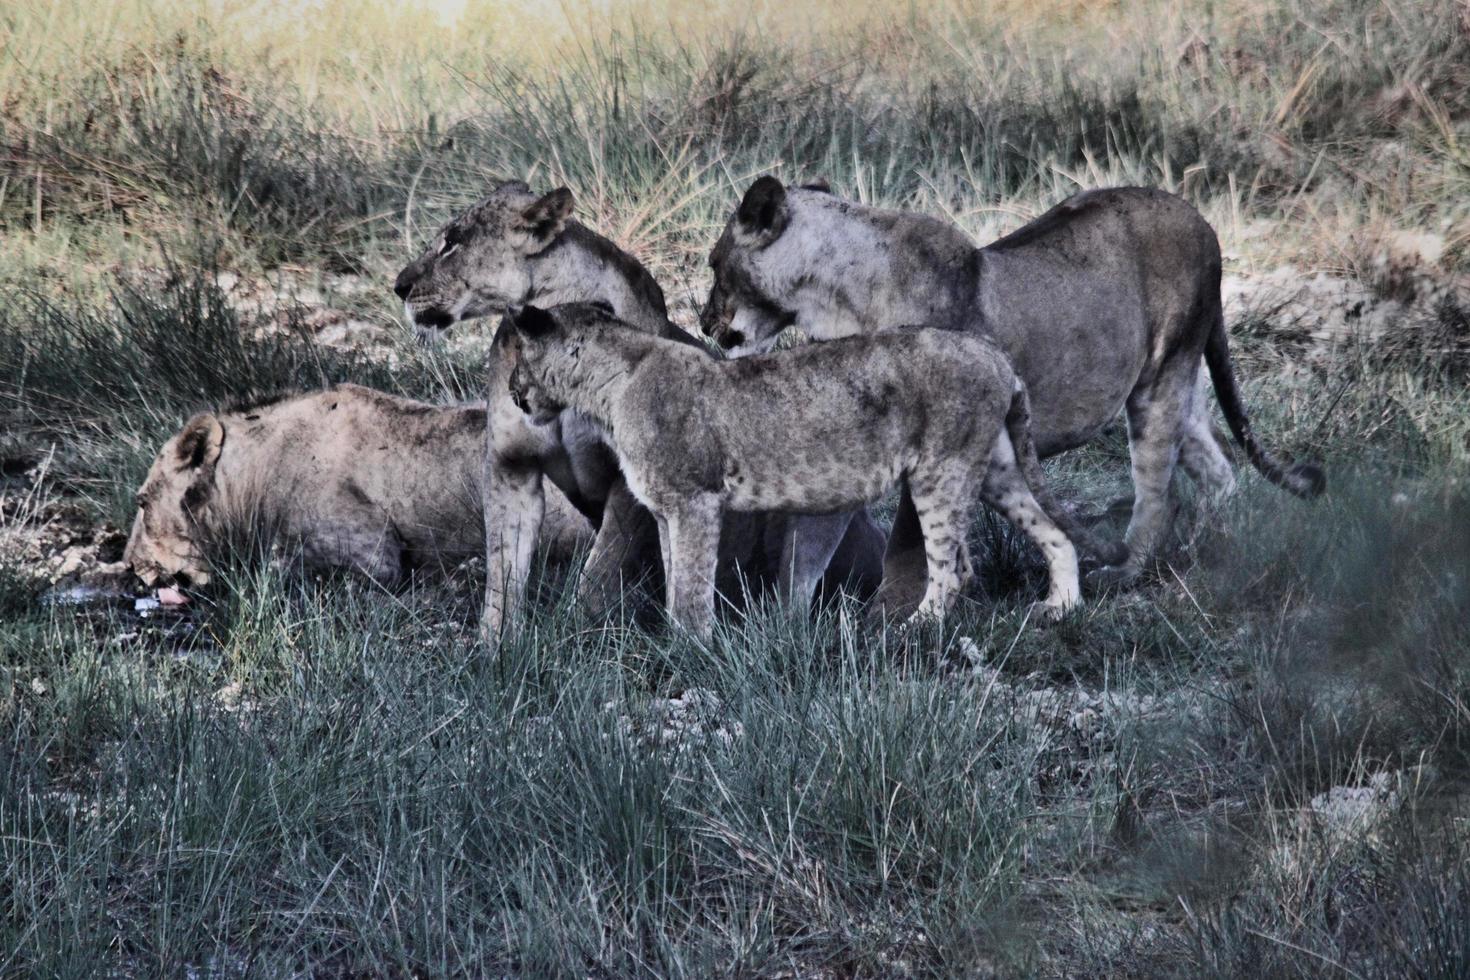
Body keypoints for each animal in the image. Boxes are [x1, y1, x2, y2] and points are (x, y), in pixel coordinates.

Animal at [391, 181, 887, 637]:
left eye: (452, 242)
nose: (398, 286)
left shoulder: (631, 479)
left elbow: (600, 570)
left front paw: (579, 632)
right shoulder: (511, 465)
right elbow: (503, 573)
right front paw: (496, 648)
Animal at [505, 302, 1123, 640]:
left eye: (513, 358)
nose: (512, 394)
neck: (609, 385)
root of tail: (993, 352)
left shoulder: (695, 500)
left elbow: (691, 585)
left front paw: (692, 646)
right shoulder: (665, 510)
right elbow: (678, 572)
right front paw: (681, 637)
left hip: (941, 470)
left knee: (955, 569)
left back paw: (907, 631)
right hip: (992, 467)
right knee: (1055, 532)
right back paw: (1062, 608)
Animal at [699, 175, 1334, 605]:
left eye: (712, 264)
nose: (703, 322)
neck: (833, 294)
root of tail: (1202, 222)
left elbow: (910, 544)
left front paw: (899, 611)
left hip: (1162, 379)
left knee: (1160, 495)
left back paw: (1125, 573)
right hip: (1177, 387)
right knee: (1218, 468)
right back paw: (1231, 552)